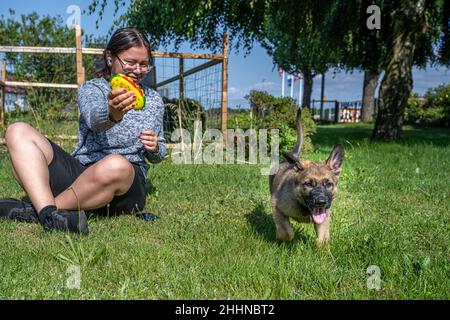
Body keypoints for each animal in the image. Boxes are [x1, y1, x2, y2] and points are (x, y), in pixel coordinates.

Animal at [268, 109, 346, 246]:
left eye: (329, 184)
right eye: (308, 184)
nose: (321, 202)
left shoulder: (324, 217)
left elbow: (323, 239)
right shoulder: (276, 206)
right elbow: (287, 232)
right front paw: (282, 238)